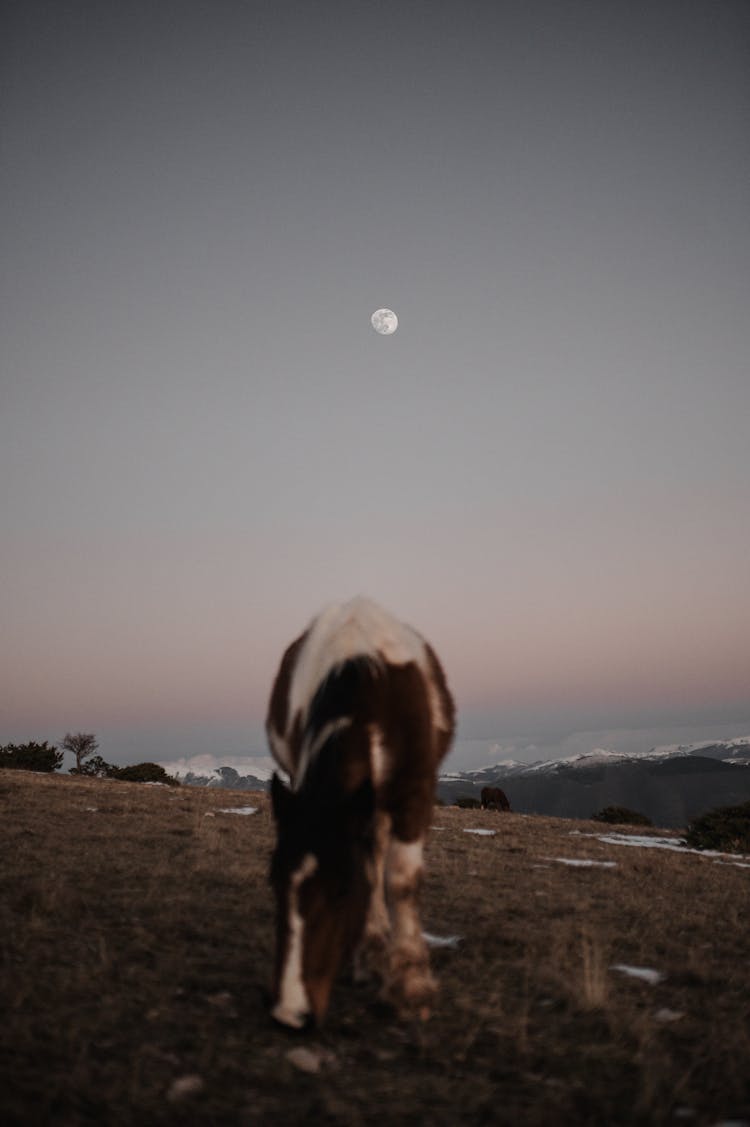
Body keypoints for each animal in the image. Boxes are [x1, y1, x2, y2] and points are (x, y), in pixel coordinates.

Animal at [269, 599, 455, 1032]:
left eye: (340, 890)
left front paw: (412, 987)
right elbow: (370, 874)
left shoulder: (415, 792)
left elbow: (401, 882)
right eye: (273, 881)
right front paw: (371, 959)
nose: (290, 1014)